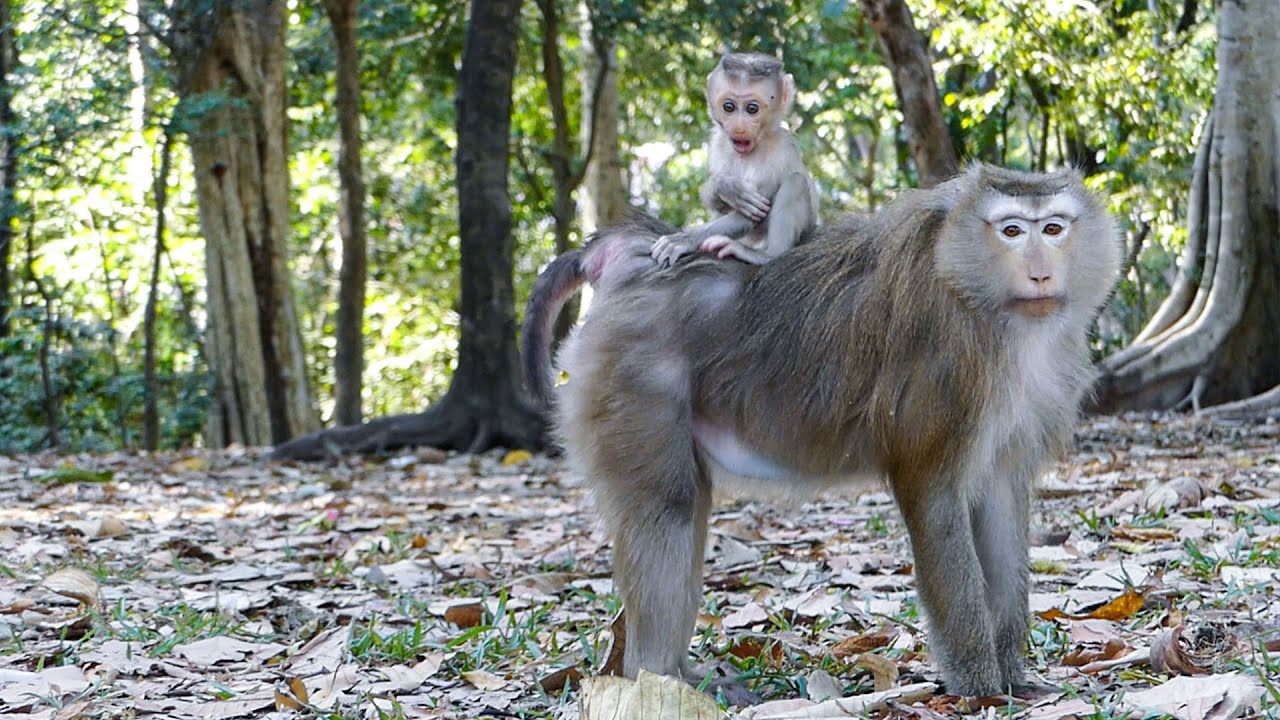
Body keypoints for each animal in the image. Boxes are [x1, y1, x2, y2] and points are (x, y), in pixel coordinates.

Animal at [522, 164, 1122, 697]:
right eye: (1012, 230)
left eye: (1053, 228)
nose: (1041, 272)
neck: (983, 302)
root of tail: (630, 255)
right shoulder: (950, 371)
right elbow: (931, 493)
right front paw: (979, 687)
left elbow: (999, 500)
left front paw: (1014, 676)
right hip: (631, 375)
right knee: (666, 509)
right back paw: (658, 678)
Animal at [650, 52, 819, 268]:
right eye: (728, 107)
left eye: (752, 109)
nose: (739, 127)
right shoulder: (718, 143)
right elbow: (717, 203)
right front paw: (727, 188)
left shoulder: (780, 149)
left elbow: (754, 214)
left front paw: (683, 239)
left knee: (795, 181)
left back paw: (766, 256)